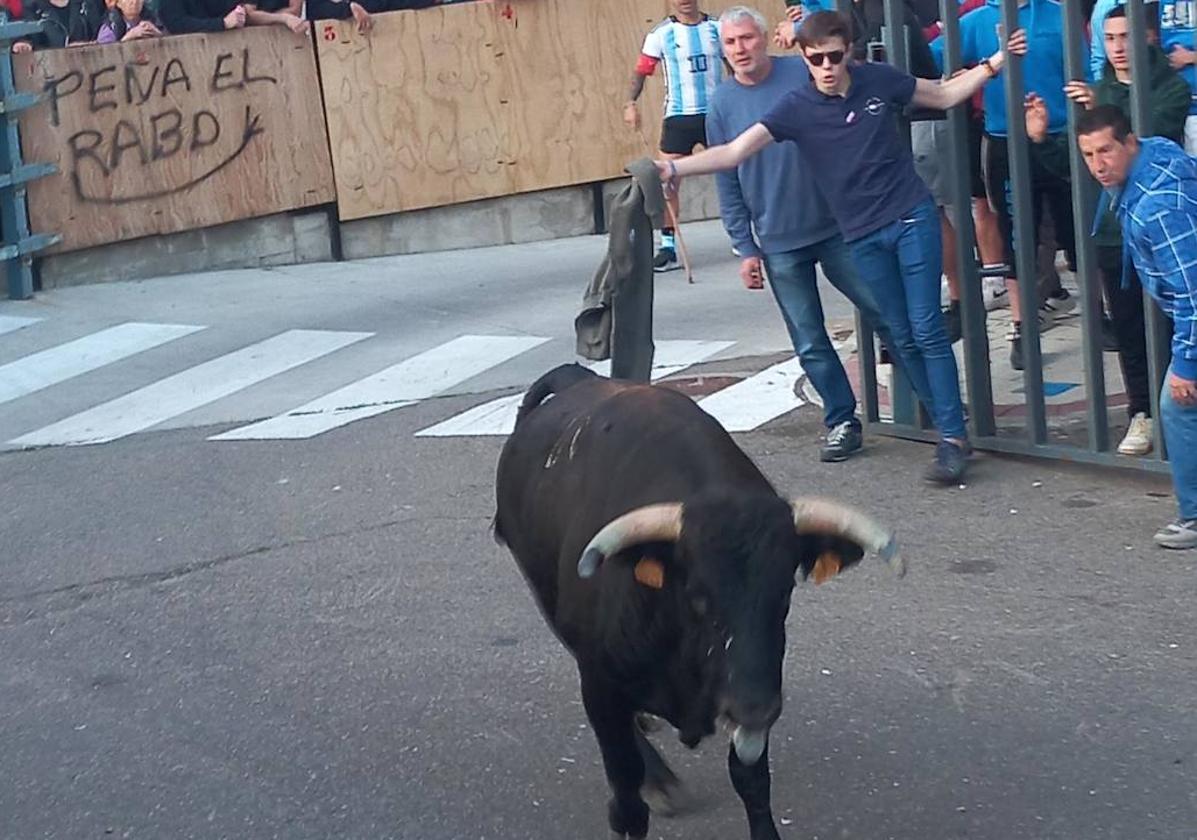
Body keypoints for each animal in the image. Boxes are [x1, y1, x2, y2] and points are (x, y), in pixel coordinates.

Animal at [490, 366, 900, 840]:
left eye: (784, 592)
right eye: (698, 596)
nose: (758, 707)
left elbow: (751, 780)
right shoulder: (599, 681)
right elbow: (626, 785)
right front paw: (643, 793)